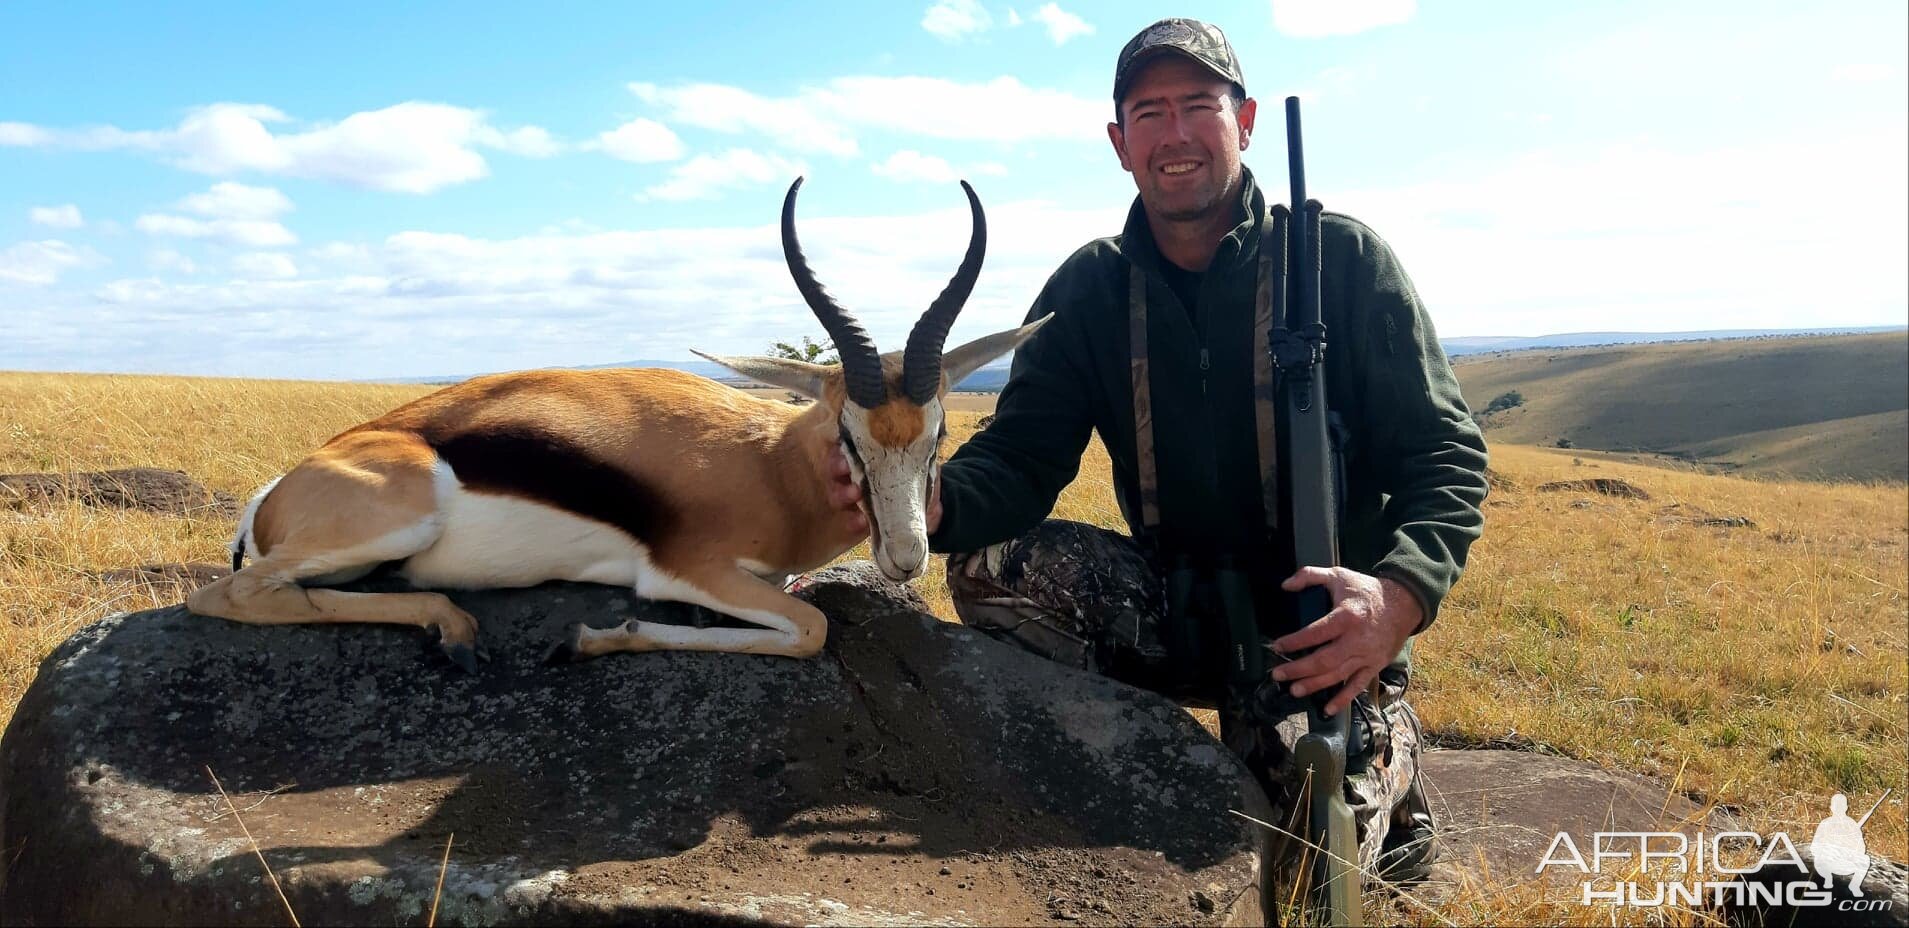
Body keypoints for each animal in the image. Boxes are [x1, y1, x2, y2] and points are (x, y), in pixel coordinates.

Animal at [186, 179, 1053, 668]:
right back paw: (455, 628)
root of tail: (273, 495)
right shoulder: (685, 572)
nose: (906, 559)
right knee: (223, 595)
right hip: (397, 518)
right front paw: (596, 637)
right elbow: (810, 630)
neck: (769, 468)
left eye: (940, 435)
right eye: (848, 435)